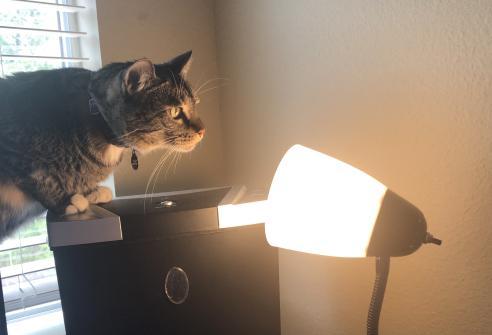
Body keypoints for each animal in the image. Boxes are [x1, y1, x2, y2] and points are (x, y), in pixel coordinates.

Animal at [0, 50, 204, 242]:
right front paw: (66, 201)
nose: (203, 130)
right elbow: (36, 177)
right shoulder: (14, 147)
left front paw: (91, 192)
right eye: (175, 111)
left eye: (195, 105)